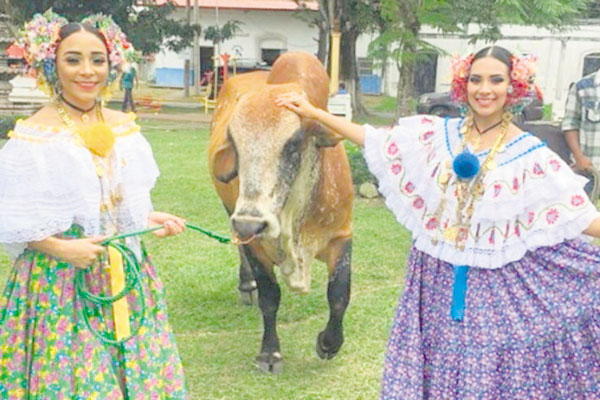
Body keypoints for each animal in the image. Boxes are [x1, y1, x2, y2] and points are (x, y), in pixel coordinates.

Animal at [209, 52, 354, 372]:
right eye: (234, 142)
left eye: (294, 142)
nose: (250, 222)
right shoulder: (253, 239)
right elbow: (270, 295)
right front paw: (269, 353)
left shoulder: (341, 235)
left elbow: (339, 294)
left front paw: (329, 343)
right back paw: (246, 285)